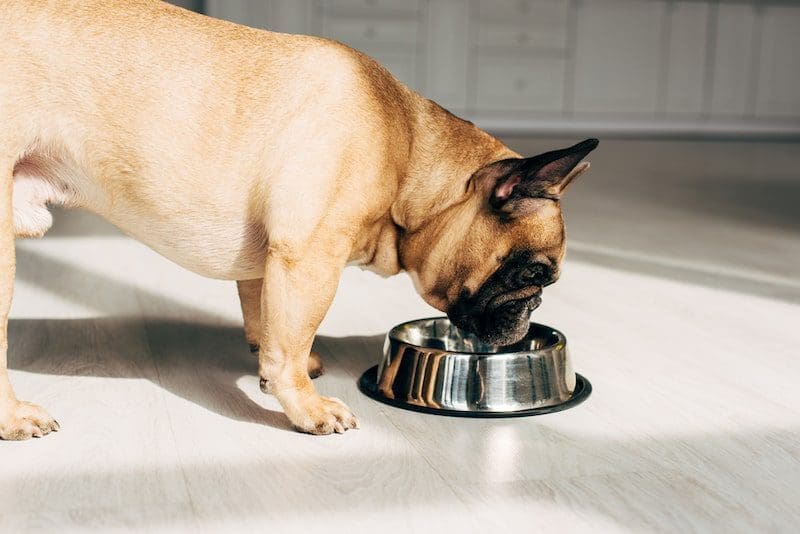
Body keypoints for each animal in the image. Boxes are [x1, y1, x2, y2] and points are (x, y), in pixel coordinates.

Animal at [0, 0, 592, 440]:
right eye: (531, 275)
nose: (534, 308)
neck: (407, 153)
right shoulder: (309, 258)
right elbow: (291, 339)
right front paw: (305, 406)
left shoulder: (269, 261)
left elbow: (267, 321)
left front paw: (278, 367)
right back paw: (16, 418)